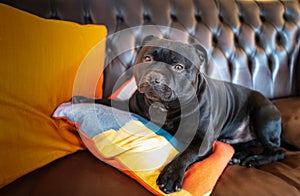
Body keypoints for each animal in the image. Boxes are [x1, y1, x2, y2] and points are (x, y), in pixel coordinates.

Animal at [72, 36, 284, 194]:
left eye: (179, 67)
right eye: (148, 59)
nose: (155, 77)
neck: (165, 107)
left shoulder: (201, 141)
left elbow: (185, 155)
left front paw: (170, 176)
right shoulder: (131, 106)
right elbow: (106, 101)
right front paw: (82, 99)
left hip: (263, 117)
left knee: (277, 151)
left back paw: (254, 160)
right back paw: (240, 156)